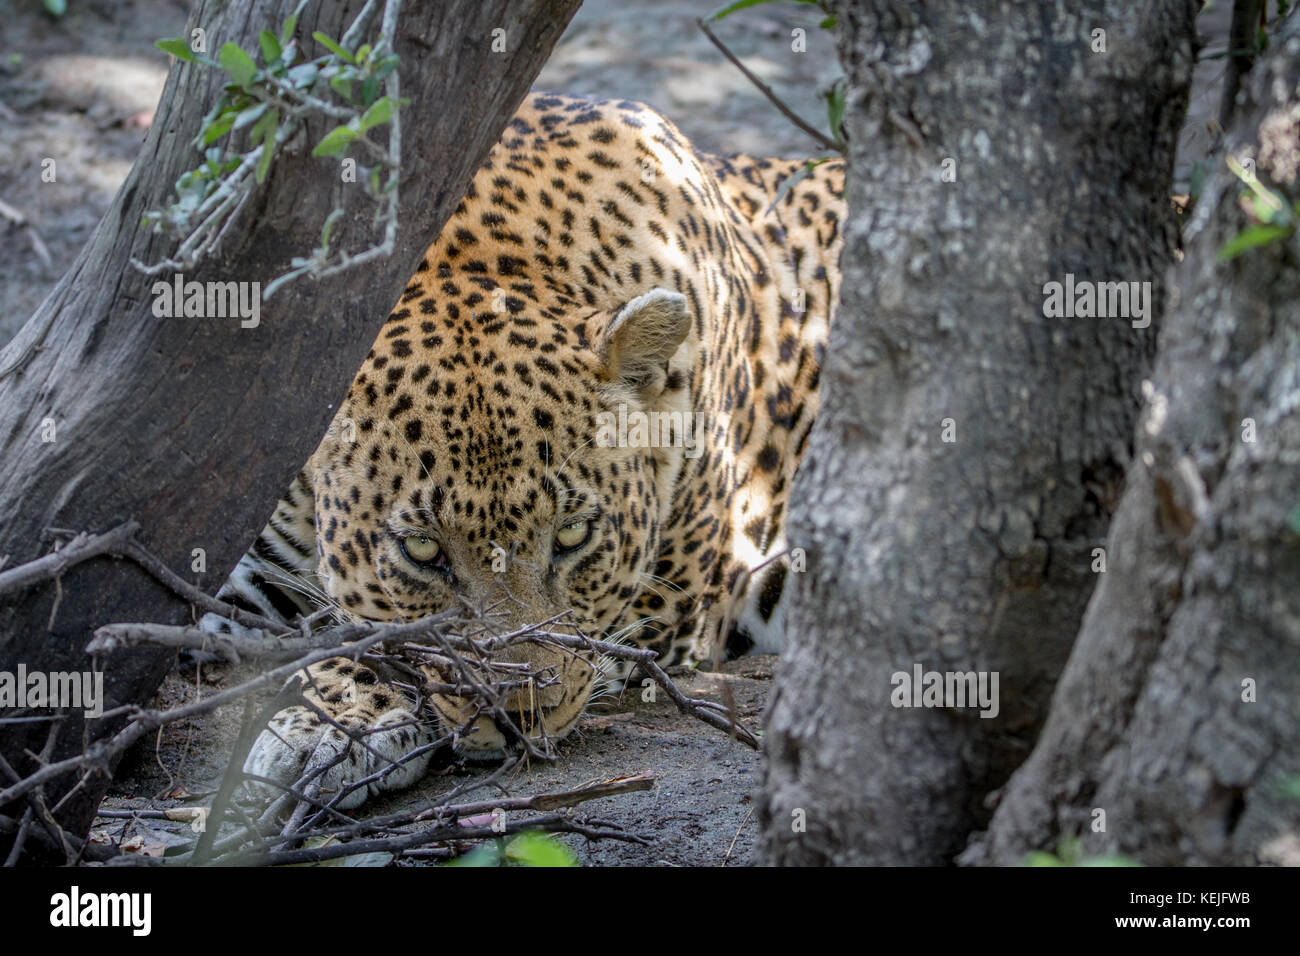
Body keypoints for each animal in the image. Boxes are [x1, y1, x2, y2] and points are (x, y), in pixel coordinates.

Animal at [207, 92, 844, 810]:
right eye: (422, 551)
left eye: (571, 536)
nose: (517, 716)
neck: (479, 257)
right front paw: (331, 719)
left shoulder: (666, 602)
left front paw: (334, 720)